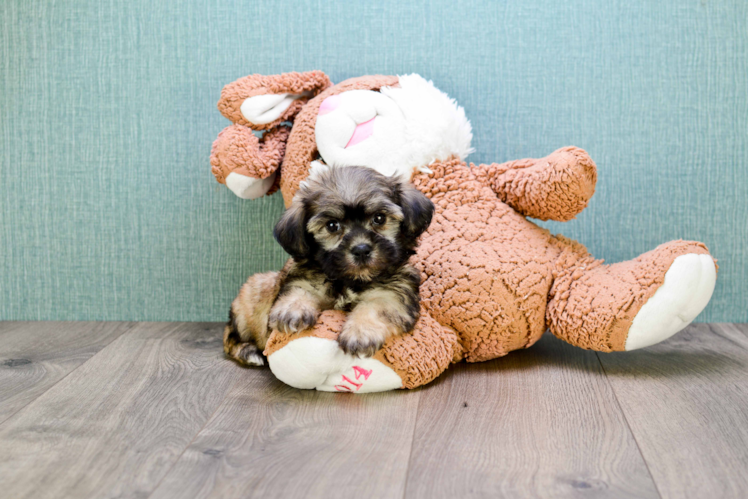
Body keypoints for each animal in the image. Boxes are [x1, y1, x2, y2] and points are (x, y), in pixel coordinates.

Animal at [222, 164, 432, 364]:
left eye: (379, 218)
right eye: (332, 225)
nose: (361, 249)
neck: (350, 280)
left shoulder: (392, 292)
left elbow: (376, 306)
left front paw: (360, 332)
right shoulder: (307, 277)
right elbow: (301, 290)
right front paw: (293, 310)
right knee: (230, 337)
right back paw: (248, 352)